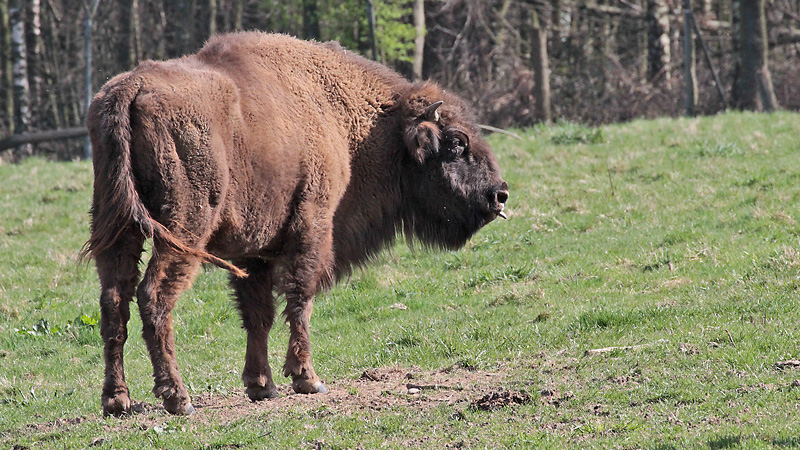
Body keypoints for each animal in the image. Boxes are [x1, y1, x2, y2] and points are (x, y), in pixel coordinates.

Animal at [81, 31, 506, 416]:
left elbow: (258, 314)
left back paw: (117, 400)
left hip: (115, 226)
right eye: (456, 143)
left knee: (114, 302)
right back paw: (178, 398)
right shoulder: (312, 225)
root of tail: (131, 88)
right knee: (154, 297)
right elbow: (300, 299)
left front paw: (261, 386)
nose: (499, 194)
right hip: (184, 228)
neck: (347, 120)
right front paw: (307, 379)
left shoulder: (253, 252)